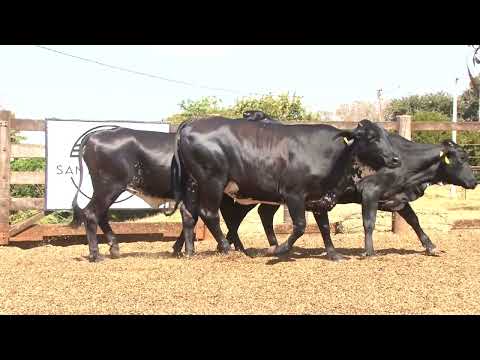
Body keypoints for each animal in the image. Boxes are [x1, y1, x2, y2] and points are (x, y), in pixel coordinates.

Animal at [171, 116, 400, 258]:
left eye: (387, 137)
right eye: (371, 137)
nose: (396, 158)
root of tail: (193, 122)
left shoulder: (318, 198)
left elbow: (324, 226)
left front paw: (334, 254)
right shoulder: (294, 194)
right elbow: (299, 226)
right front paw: (279, 250)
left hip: (194, 184)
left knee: (189, 213)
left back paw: (190, 251)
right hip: (212, 182)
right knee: (209, 213)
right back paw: (227, 248)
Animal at [223, 136, 478, 258]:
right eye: (460, 159)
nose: (474, 181)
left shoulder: (397, 198)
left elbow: (415, 221)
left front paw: (431, 246)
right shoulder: (371, 192)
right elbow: (369, 223)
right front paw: (369, 251)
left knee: (258, 215)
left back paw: (254, 246)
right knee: (233, 217)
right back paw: (236, 247)